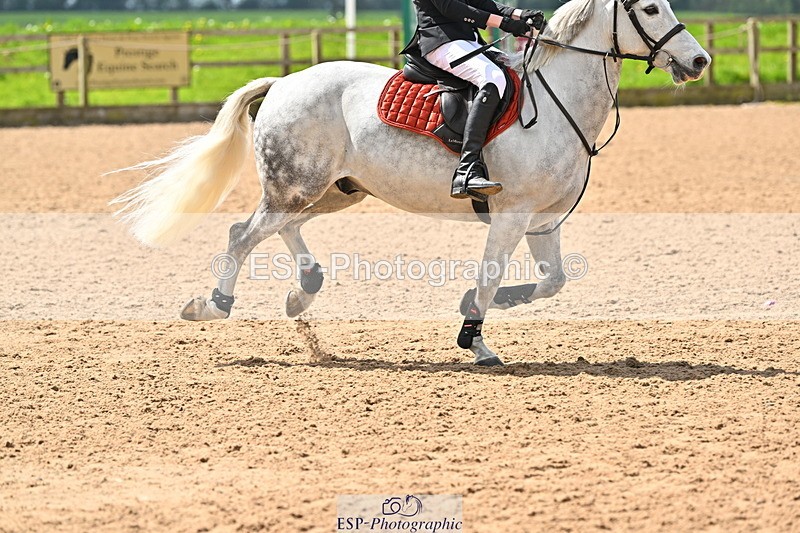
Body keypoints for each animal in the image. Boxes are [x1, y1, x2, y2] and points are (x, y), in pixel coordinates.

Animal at [112, 0, 710, 366]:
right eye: (650, 8)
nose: (700, 60)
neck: (557, 100)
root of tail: (283, 81)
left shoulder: (544, 221)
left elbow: (552, 282)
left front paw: (484, 309)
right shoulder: (512, 214)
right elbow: (491, 276)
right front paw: (475, 341)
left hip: (333, 190)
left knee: (270, 228)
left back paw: (302, 292)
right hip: (299, 186)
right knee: (243, 234)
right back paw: (211, 305)